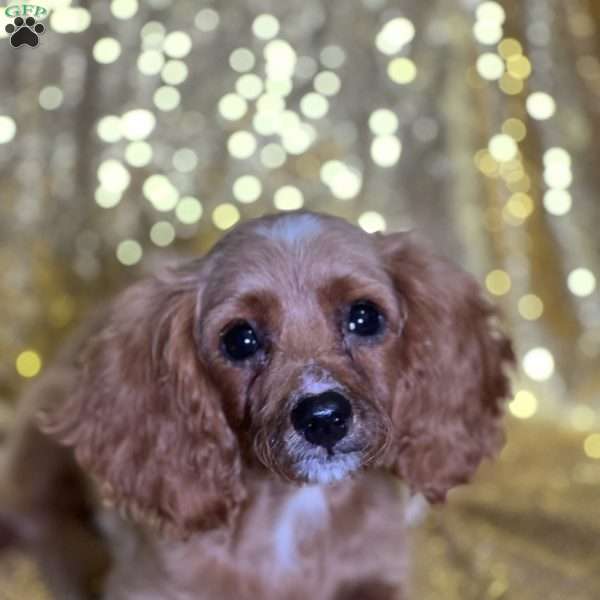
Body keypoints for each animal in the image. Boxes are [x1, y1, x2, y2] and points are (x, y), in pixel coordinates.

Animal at [1, 212, 510, 600]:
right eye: (239, 339)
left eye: (364, 317)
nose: (324, 418)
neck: (296, 513)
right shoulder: (150, 586)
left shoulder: (384, 576)